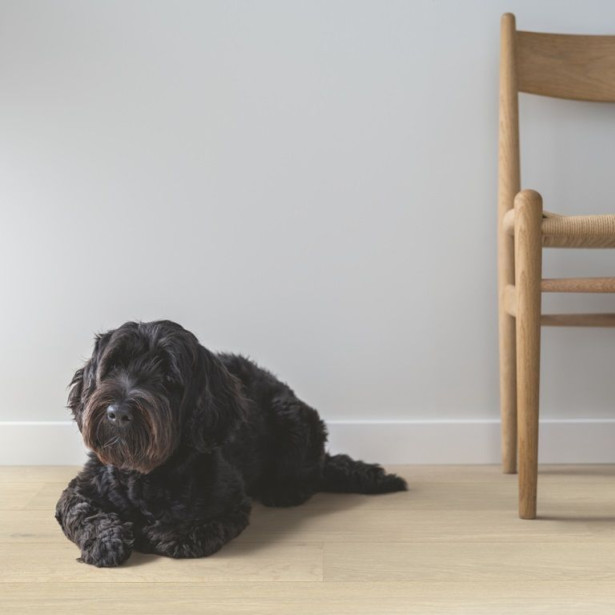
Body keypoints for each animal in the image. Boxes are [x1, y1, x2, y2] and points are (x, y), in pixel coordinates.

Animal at [55, 322, 406, 568]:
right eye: (113, 367)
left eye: (168, 377)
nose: (118, 412)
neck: (146, 474)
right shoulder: (80, 489)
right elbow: (83, 513)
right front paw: (105, 541)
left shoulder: (231, 503)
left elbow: (191, 530)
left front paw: (163, 533)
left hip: (292, 419)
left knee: (309, 476)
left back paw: (284, 490)